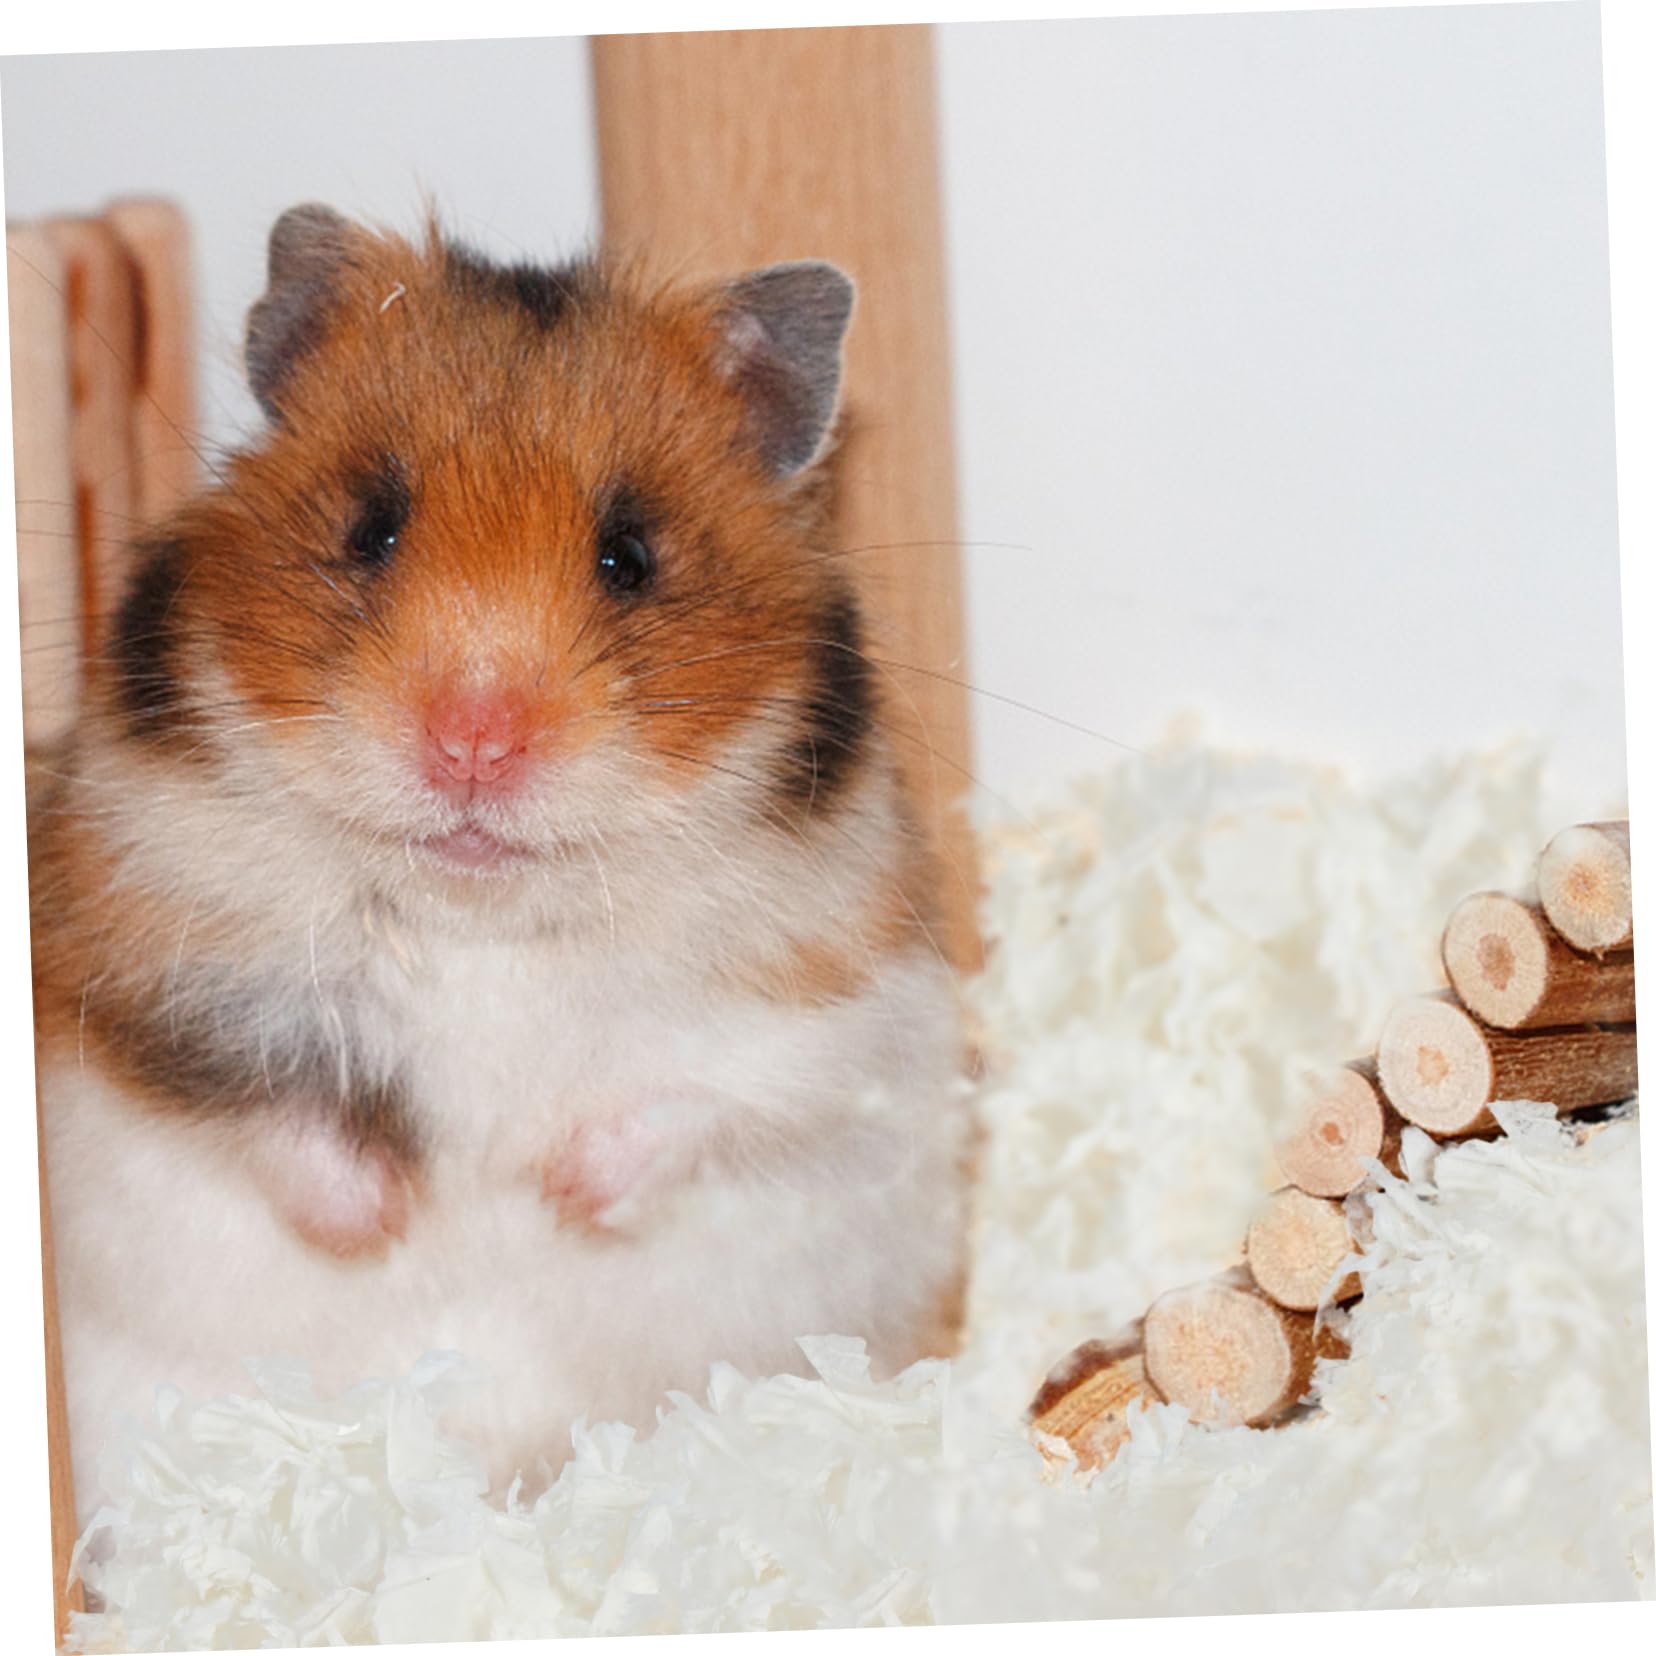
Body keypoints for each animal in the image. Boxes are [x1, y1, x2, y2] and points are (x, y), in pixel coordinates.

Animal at [28, 205, 972, 1514]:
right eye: (370, 527)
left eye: (631, 555)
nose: (472, 741)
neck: (482, 914)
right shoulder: (130, 958)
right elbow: (264, 1108)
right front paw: (392, 1220)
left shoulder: (849, 1006)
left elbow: (709, 1094)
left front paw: (552, 1189)